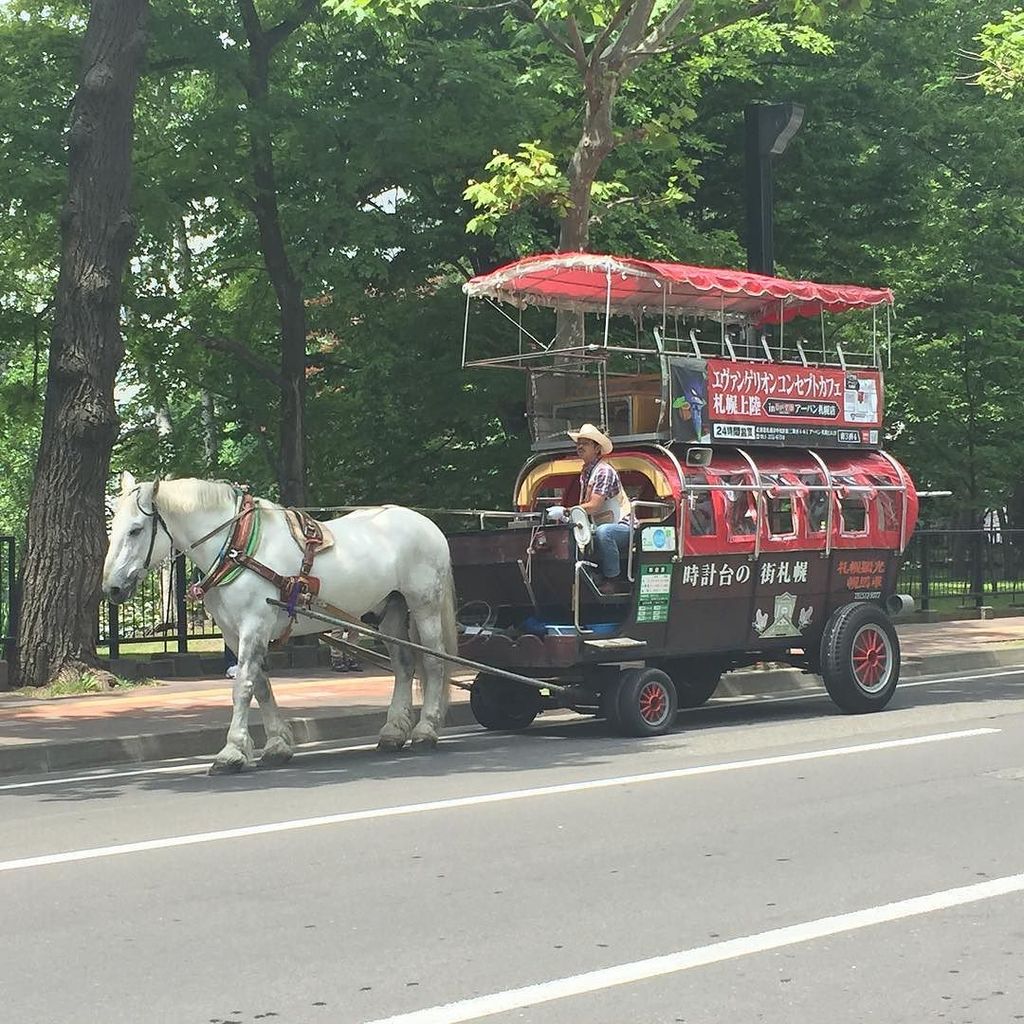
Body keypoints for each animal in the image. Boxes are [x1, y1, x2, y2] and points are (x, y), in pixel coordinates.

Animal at [102, 475, 456, 770]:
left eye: (135, 529)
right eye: (114, 528)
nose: (112, 588)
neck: (237, 547)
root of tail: (427, 524)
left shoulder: (254, 625)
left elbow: (243, 686)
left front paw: (231, 752)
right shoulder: (234, 633)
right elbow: (260, 686)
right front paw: (276, 745)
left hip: (423, 604)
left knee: (434, 662)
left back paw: (425, 730)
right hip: (388, 610)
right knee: (404, 665)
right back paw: (393, 732)